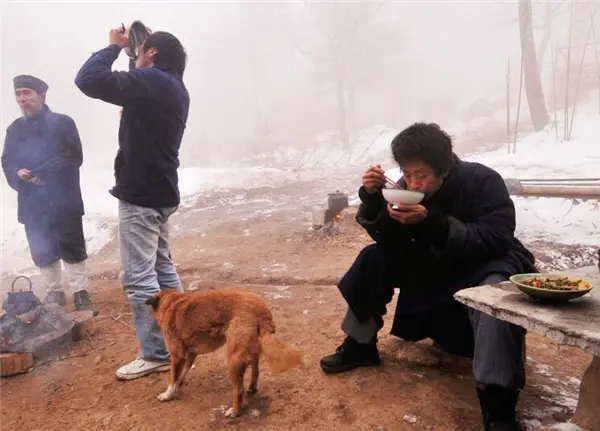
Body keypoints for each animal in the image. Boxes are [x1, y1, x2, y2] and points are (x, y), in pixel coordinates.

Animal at [146, 288, 304, 416]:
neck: (172, 304)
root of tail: (262, 311)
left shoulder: (177, 355)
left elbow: (172, 378)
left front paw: (167, 395)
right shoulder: (191, 354)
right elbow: (183, 371)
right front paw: (180, 382)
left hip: (233, 359)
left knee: (239, 390)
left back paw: (234, 412)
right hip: (250, 353)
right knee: (255, 371)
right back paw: (252, 388)